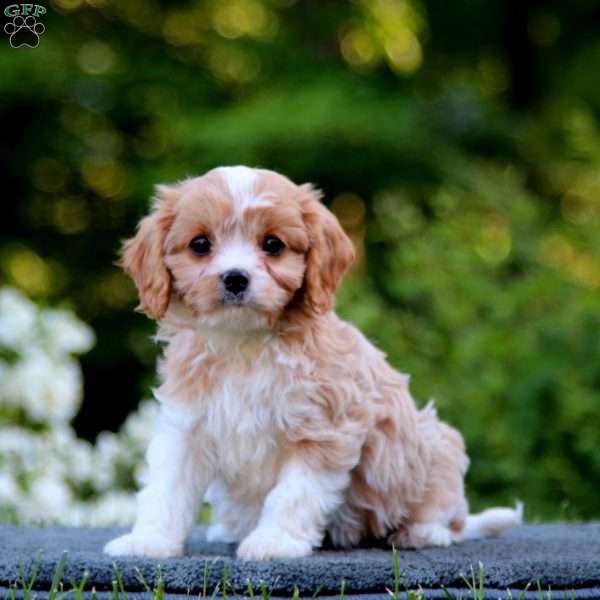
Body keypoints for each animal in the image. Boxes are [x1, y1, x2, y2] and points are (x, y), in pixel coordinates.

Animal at [103, 166, 520, 560]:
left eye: (273, 245)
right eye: (200, 245)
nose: (235, 278)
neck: (244, 342)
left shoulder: (324, 428)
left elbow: (292, 493)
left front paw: (275, 541)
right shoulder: (187, 426)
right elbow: (166, 490)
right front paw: (149, 540)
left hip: (435, 446)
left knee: (448, 515)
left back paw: (421, 532)